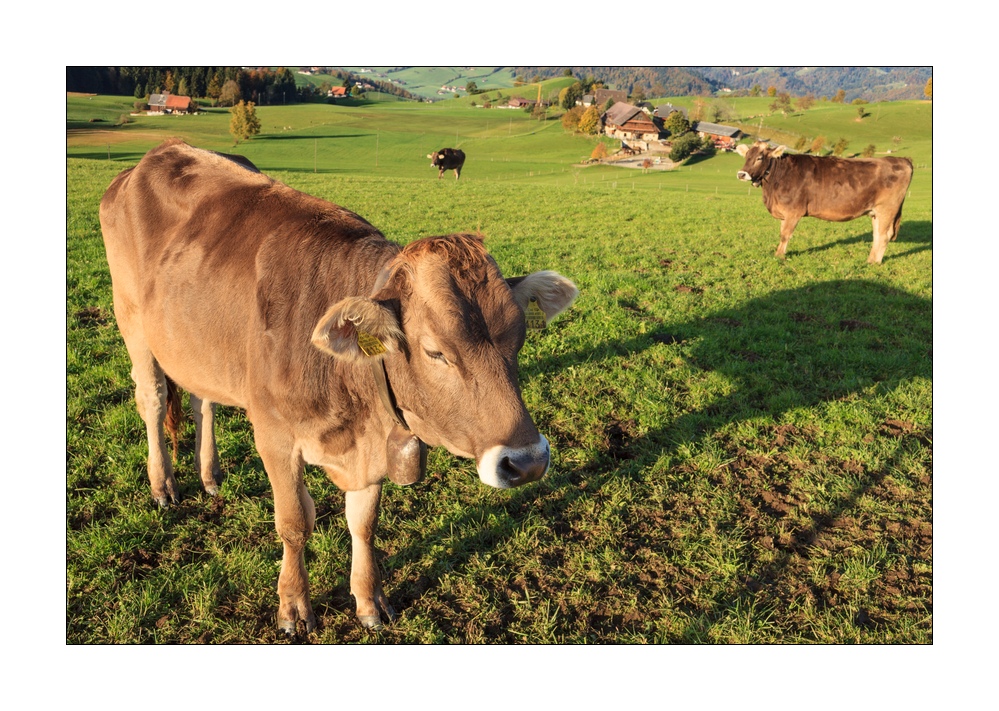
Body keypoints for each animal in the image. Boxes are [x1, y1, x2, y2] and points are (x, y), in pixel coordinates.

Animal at [99, 139, 578, 636]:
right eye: (435, 352)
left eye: (519, 338)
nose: (528, 462)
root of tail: (157, 154)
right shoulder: (274, 435)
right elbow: (294, 523)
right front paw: (293, 606)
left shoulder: (373, 445)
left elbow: (363, 523)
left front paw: (369, 601)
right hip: (132, 322)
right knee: (153, 400)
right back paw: (163, 485)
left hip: (198, 343)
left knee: (202, 401)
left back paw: (209, 474)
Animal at [735, 140, 913, 264]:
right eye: (746, 156)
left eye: (759, 158)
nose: (741, 174)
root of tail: (901, 160)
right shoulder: (784, 212)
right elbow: (782, 233)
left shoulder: (793, 211)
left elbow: (785, 235)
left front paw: (779, 256)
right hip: (876, 211)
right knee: (877, 234)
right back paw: (871, 259)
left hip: (887, 208)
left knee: (884, 235)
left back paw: (874, 263)